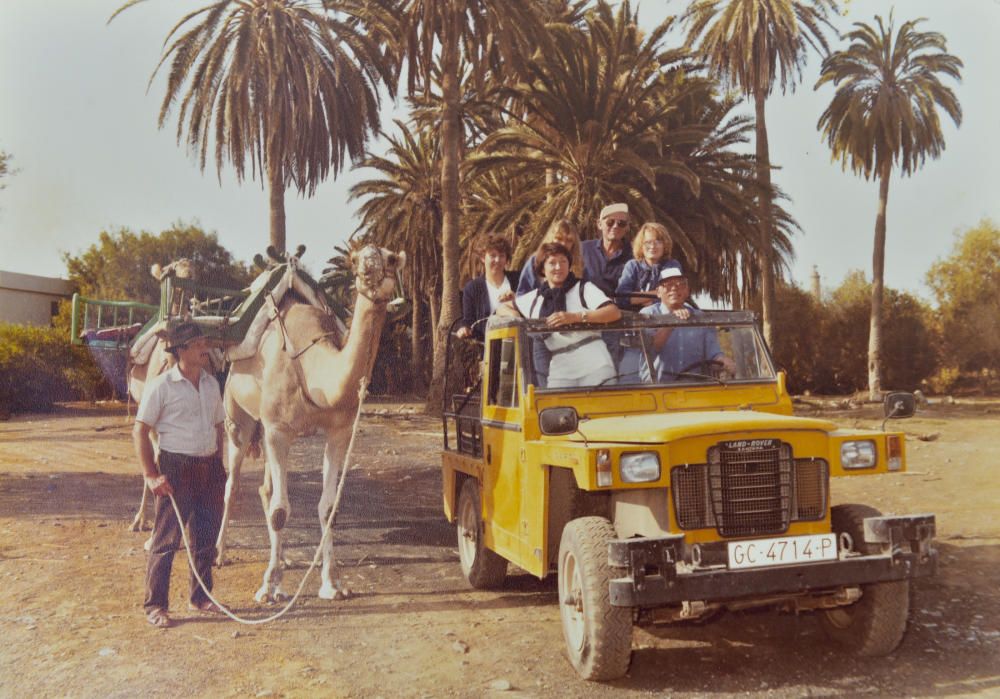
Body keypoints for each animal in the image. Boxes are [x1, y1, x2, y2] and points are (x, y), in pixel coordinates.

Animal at [221, 245, 404, 600]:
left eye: (390, 257)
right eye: (355, 260)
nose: (371, 268)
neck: (312, 369)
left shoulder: (338, 433)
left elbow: (328, 508)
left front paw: (332, 584)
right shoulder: (278, 430)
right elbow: (280, 510)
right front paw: (269, 587)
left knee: (265, 488)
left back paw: (284, 557)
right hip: (239, 417)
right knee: (232, 483)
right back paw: (219, 553)